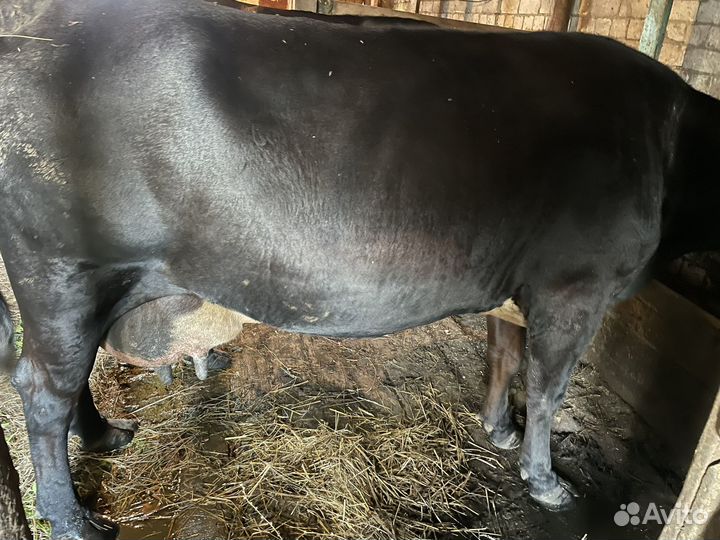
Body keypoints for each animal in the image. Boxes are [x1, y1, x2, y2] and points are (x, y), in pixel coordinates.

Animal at [1, 0, 719, 538]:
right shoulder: (575, 288)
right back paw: (75, 520)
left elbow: (505, 357)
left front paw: (498, 430)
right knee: (44, 391)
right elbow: (549, 389)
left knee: (72, 382)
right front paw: (544, 480)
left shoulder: (514, 285)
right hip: (61, 272)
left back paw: (106, 438)